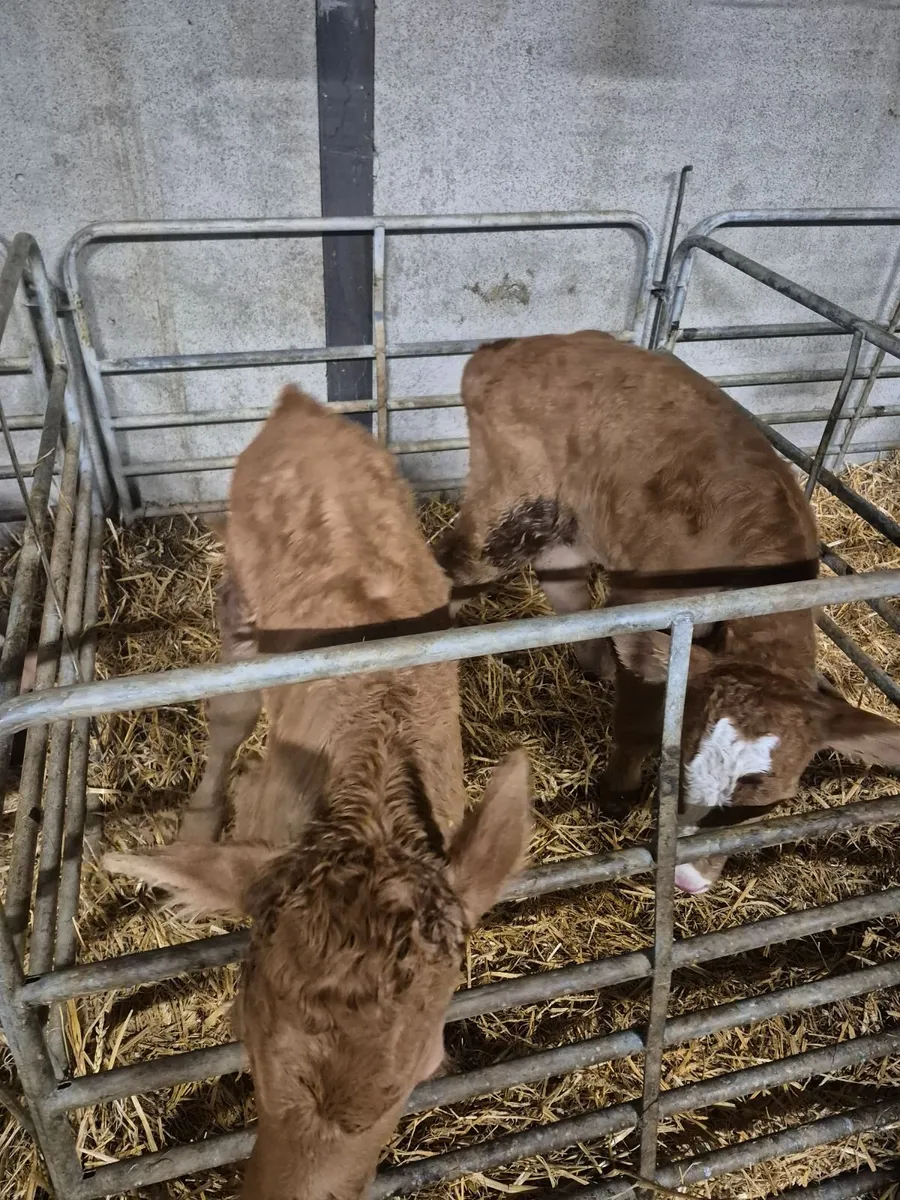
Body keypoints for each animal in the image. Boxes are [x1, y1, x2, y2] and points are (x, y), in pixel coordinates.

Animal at [436, 330, 900, 894]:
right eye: (677, 776)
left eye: (759, 807)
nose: (686, 881)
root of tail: (504, 348)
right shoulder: (645, 610)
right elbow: (635, 718)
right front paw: (616, 794)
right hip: (510, 507)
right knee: (452, 570)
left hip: (568, 518)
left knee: (561, 579)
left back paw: (594, 663)